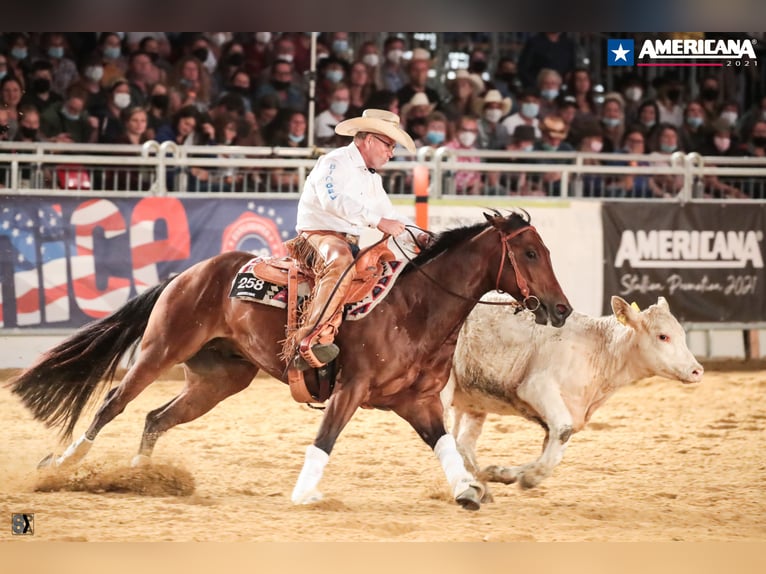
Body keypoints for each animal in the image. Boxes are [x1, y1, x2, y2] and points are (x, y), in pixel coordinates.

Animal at [9, 213, 572, 512]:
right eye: (529, 254)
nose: (562, 309)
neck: (415, 308)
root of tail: (190, 272)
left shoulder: (418, 402)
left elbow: (446, 446)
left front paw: (467, 490)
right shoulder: (351, 388)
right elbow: (325, 439)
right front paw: (305, 492)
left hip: (218, 381)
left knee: (155, 418)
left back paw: (143, 477)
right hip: (157, 351)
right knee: (113, 404)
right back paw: (63, 465)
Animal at [444, 294, 708, 498]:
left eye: (681, 334)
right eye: (663, 336)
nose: (697, 371)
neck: (599, 349)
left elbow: (553, 447)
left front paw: (502, 473)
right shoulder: (537, 387)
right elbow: (562, 431)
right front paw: (530, 477)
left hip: (473, 402)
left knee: (462, 442)